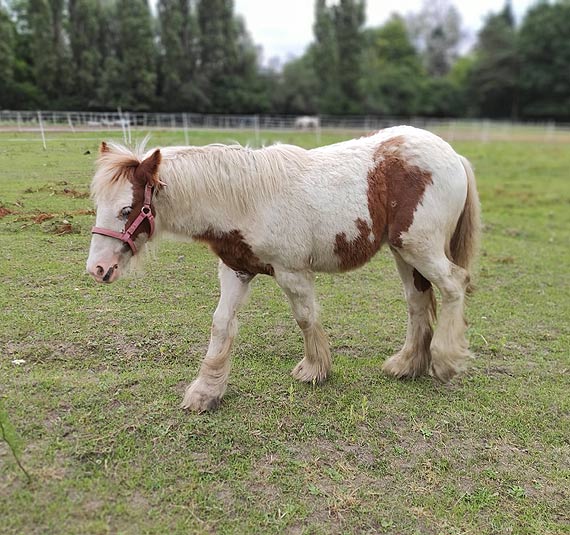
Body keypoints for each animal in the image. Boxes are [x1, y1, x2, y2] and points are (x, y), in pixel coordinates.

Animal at [86, 127, 480, 412]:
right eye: (98, 203)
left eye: (126, 209)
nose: (97, 268)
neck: (245, 200)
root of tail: (452, 154)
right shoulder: (235, 270)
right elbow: (221, 324)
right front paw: (206, 392)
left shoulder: (292, 272)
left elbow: (305, 318)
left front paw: (314, 369)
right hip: (403, 252)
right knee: (417, 301)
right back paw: (407, 364)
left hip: (419, 247)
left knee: (454, 285)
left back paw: (445, 362)